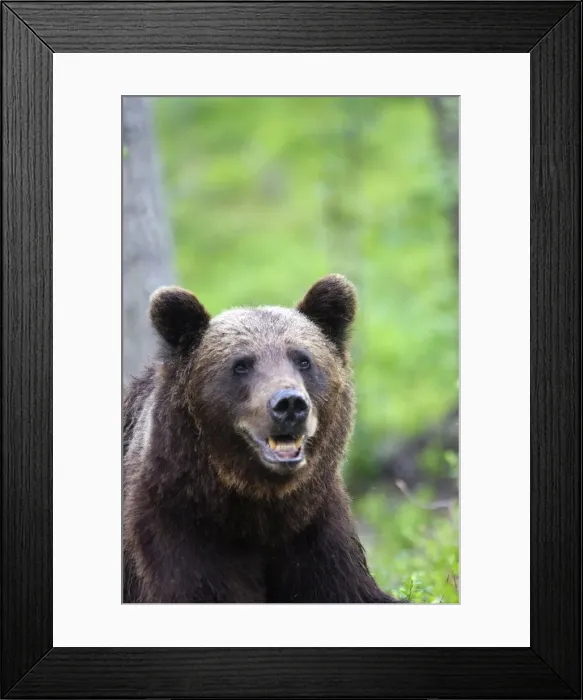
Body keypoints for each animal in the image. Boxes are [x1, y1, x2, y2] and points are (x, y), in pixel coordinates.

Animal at [123, 274, 401, 603]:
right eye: (241, 364)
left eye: (303, 360)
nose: (290, 404)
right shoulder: (178, 523)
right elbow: (200, 589)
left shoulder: (315, 527)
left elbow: (348, 588)